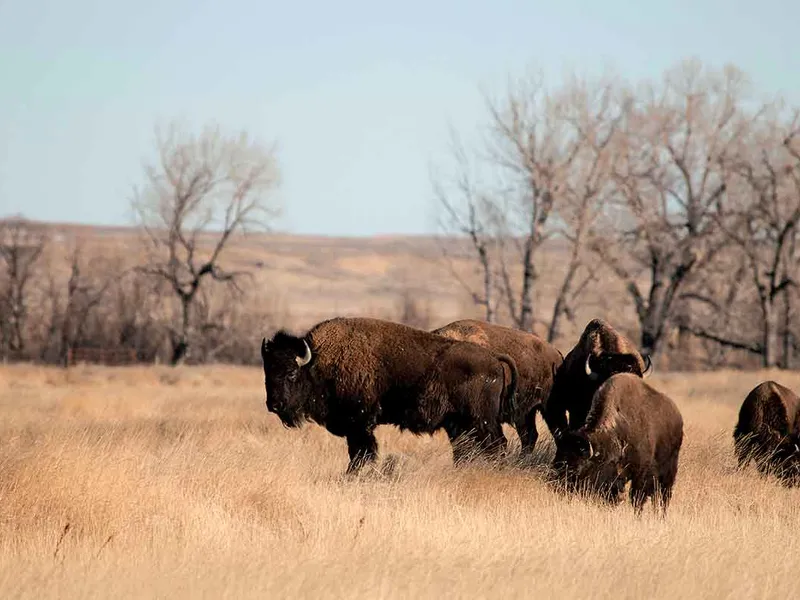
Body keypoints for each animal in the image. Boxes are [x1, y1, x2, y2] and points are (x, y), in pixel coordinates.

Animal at [256, 316, 520, 476]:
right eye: (267, 372)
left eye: (291, 373)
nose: (274, 404)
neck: (318, 364)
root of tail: (494, 358)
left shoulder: (359, 424)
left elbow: (361, 453)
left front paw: (351, 476)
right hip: (459, 424)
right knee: (467, 450)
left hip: (481, 421)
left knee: (497, 446)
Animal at [552, 372, 684, 512]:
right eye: (557, 460)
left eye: (580, 467)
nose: (559, 488)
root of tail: (678, 416)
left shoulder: (641, 471)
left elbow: (637, 497)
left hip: (669, 470)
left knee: (664, 495)